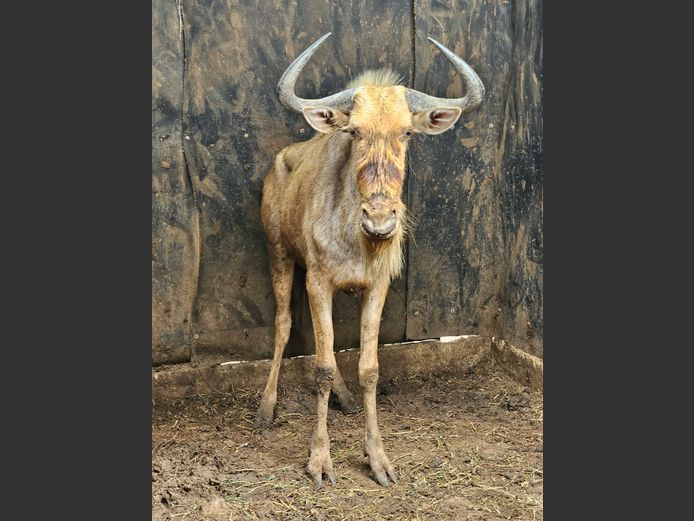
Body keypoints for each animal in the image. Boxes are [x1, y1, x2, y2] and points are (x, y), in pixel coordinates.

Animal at [255, 33, 484, 487]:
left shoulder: (374, 287)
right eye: (354, 131)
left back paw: (343, 398)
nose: (380, 221)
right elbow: (323, 366)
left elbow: (367, 367)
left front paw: (377, 458)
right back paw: (267, 408)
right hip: (280, 256)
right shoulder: (318, 282)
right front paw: (320, 460)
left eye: (407, 132)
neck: (356, 238)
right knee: (284, 323)